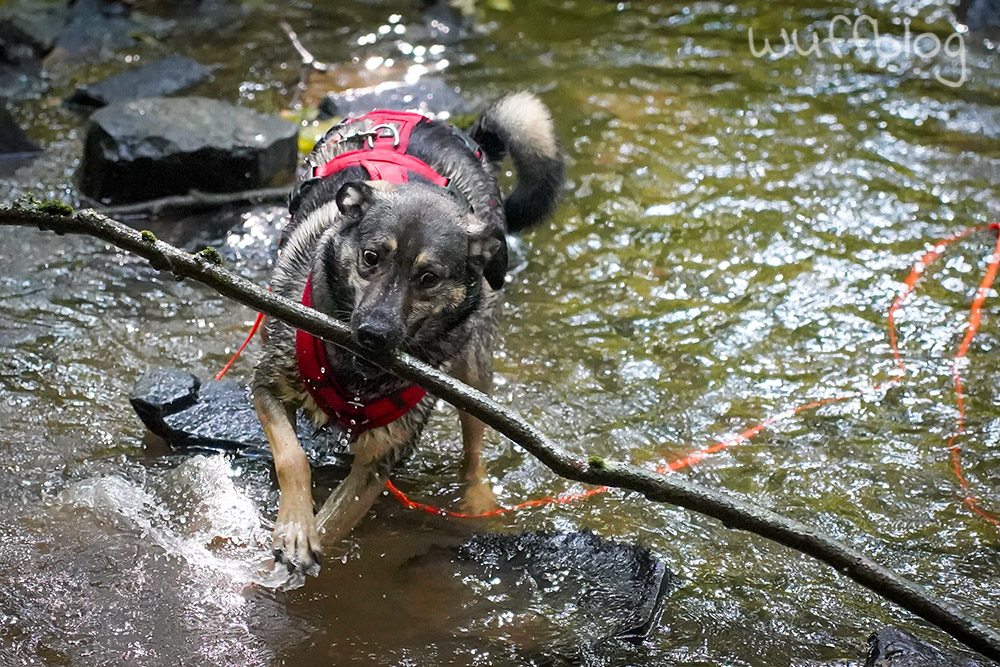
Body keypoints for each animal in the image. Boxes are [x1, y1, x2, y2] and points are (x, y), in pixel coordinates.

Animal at [250, 91, 564, 576]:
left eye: (429, 278)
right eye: (370, 258)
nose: (372, 333)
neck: (358, 378)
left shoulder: (384, 454)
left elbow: (339, 518)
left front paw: (308, 540)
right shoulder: (267, 383)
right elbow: (292, 457)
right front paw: (297, 530)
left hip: (475, 368)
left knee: (475, 442)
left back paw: (478, 497)